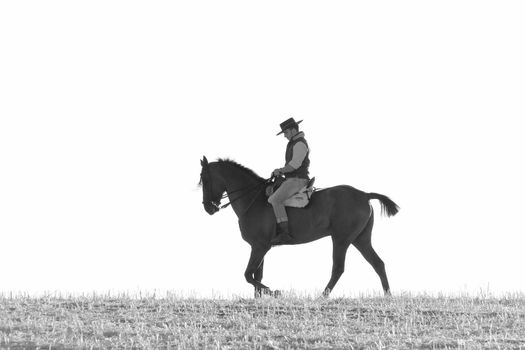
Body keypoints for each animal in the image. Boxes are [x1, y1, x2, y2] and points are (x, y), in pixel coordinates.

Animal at [199, 157, 400, 296]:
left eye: (204, 179)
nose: (209, 208)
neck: (253, 199)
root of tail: (365, 194)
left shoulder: (260, 246)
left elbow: (249, 275)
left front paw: (275, 292)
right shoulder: (259, 247)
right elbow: (256, 276)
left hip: (341, 239)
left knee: (338, 268)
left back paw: (321, 297)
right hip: (360, 239)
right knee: (378, 263)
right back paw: (387, 296)